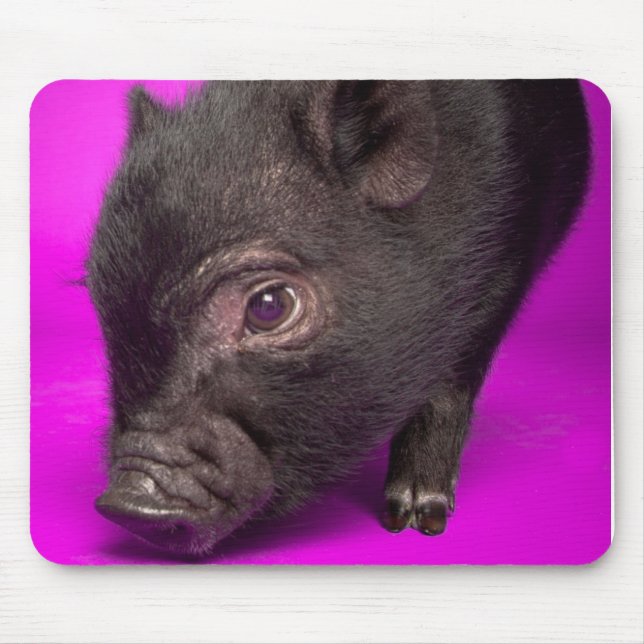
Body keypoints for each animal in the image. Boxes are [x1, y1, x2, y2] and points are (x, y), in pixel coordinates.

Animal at [87, 80, 589, 556]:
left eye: (270, 306)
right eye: (103, 298)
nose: (126, 502)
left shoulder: (500, 279)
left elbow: (446, 391)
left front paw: (413, 520)